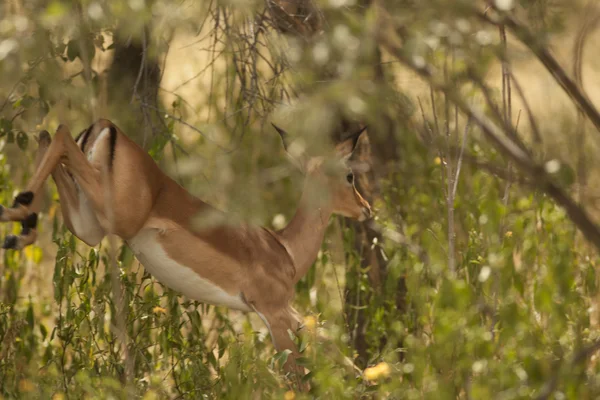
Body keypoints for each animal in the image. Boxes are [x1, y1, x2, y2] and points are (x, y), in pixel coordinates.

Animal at [0, 119, 370, 384]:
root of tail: (102, 127)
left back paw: (18, 224)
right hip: (114, 214)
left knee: (47, 135)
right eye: (350, 175)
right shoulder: (273, 310)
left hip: (88, 225)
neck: (285, 250)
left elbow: (333, 347)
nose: (366, 209)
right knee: (59, 133)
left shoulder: (288, 312)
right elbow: (298, 376)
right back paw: (17, 215)